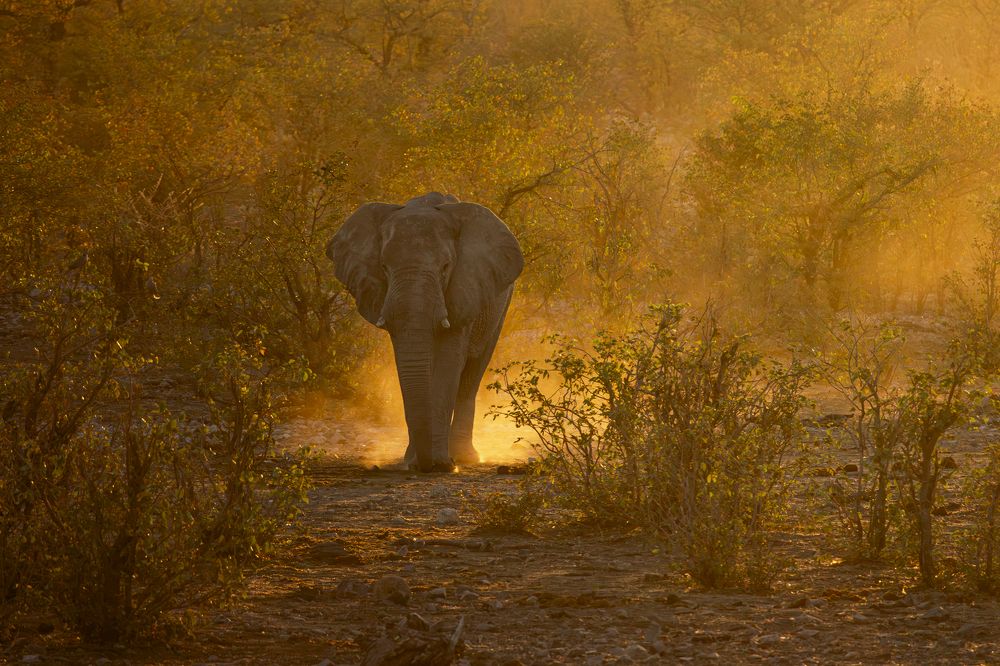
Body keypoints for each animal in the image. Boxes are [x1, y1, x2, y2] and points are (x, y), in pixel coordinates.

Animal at [327, 192, 523, 472]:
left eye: (445, 267)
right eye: (384, 267)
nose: (426, 464)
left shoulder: (464, 288)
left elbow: (448, 363)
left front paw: (442, 464)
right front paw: (414, 462)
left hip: (500, 305)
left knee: (472, 373)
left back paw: (464, 457)